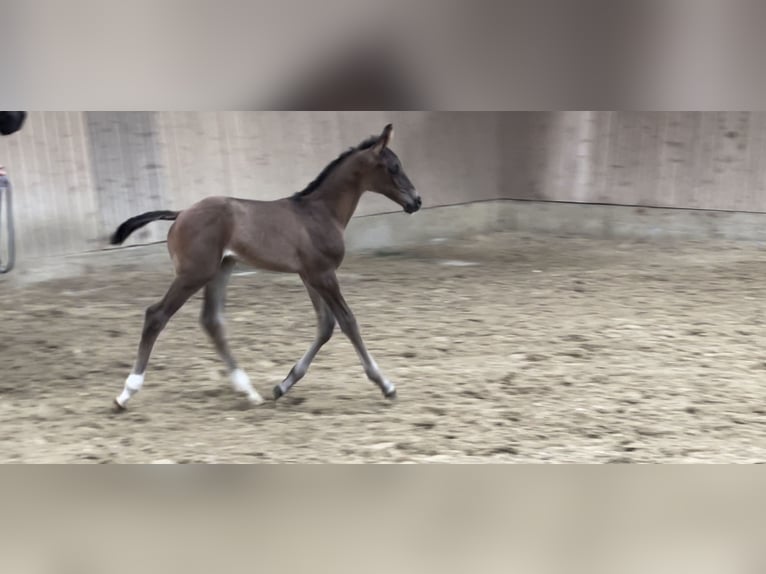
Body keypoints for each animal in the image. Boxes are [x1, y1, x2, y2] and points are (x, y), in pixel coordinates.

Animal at [111, 124, 424, 412]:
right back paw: (126, 393)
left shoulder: (310, 275)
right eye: (394, 167)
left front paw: (282, 385)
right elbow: (348, 322)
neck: (320, 212)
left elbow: (325, 326)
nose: (416, 201)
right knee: (156, 315)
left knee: (212, 321)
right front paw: (386, 385)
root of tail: (180, 213)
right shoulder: (323, 274)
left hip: (221, 270)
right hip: (194, 274)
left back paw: (248, 391)